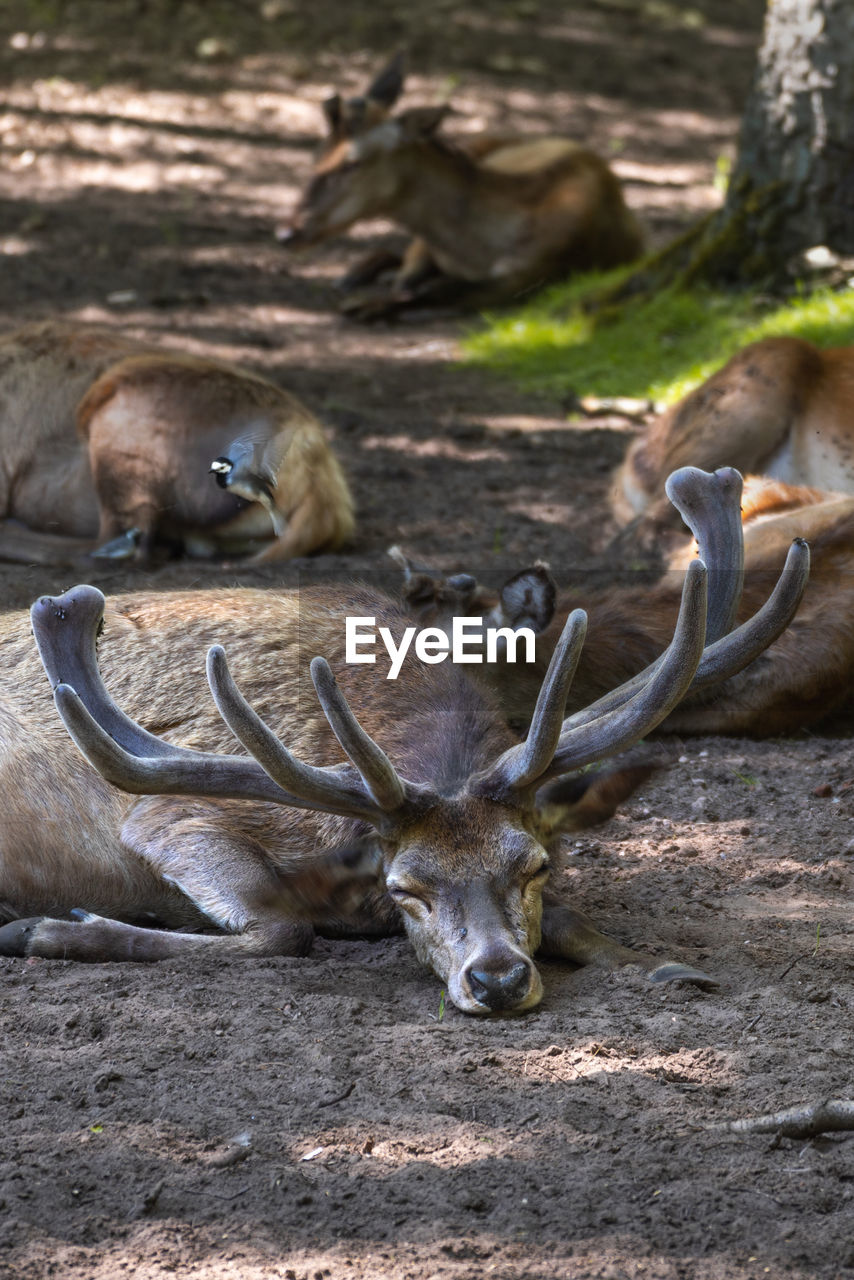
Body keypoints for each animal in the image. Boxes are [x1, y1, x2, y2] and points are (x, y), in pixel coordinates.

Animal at [277, 56, 645, 320]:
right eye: (317, 153)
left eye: (353, 162)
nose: (287, 232)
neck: (477, 249)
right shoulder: (430, 250)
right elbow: (409, 279)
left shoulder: (528, 275)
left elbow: (436, 291)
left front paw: (365, 306)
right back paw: (356, 273)